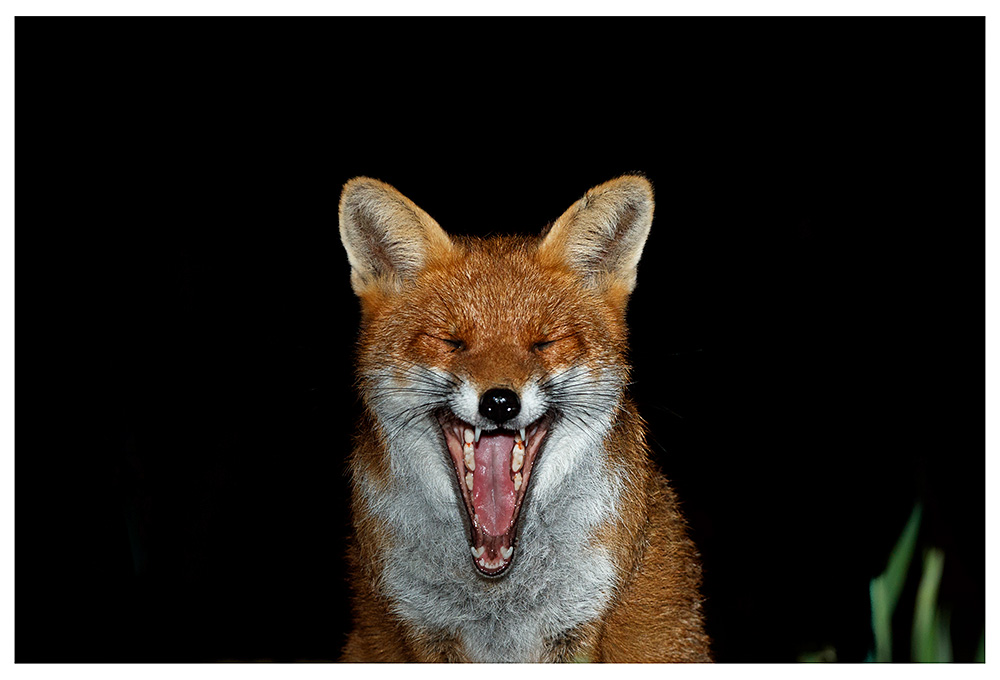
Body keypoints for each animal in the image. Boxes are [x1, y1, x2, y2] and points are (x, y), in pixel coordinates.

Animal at [336, 175, 710, 662]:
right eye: (450, 341)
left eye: (544, 343)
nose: (499, 403)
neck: (499, 591)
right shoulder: (423, 627)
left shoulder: (580, 619)